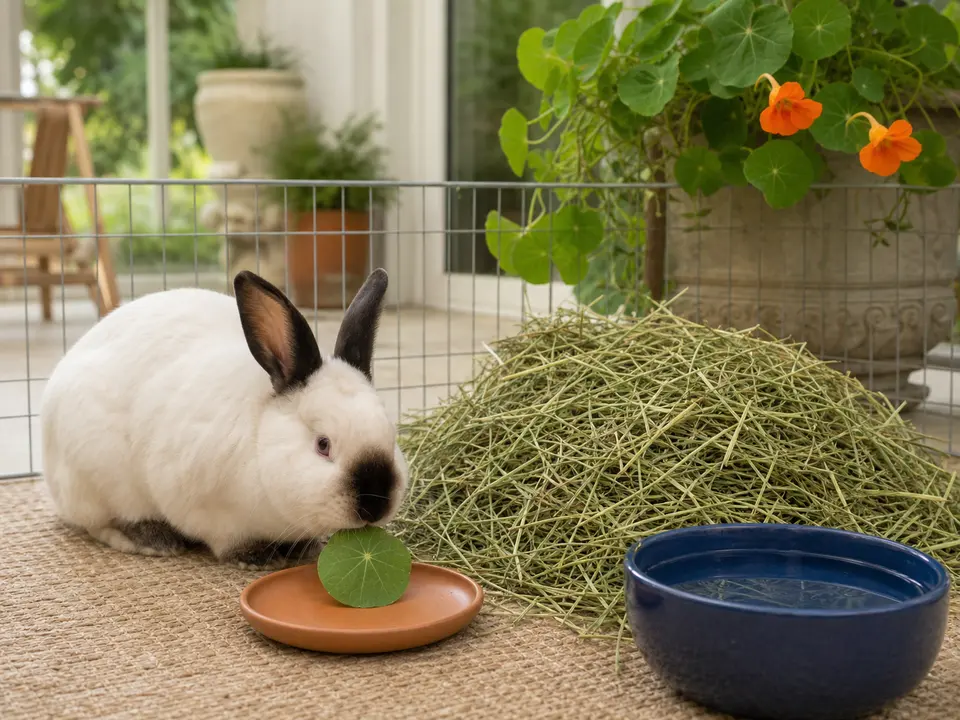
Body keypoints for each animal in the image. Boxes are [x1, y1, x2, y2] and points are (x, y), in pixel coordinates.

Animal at [39, 267, 409, 569]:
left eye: (391, 437)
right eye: (323, 445)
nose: (375, 504)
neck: (261, 442)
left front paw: (304, 547)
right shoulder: (205, 507)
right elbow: (226, 540)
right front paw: (257, 557)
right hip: (97, 477)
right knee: (100, 522)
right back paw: (153, 539)